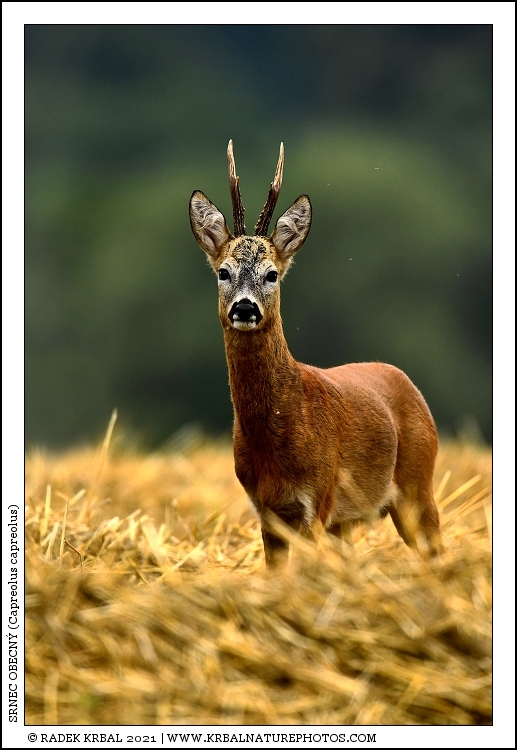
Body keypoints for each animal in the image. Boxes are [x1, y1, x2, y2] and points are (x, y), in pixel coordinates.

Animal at [189, 141, 442, 567]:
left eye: (272, 274)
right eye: (223, 271)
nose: (245, 308)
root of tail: (405, 380)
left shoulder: (318, 497)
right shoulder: (267, 511)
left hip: (418, 484)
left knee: (436, 546)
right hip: (350, 519)